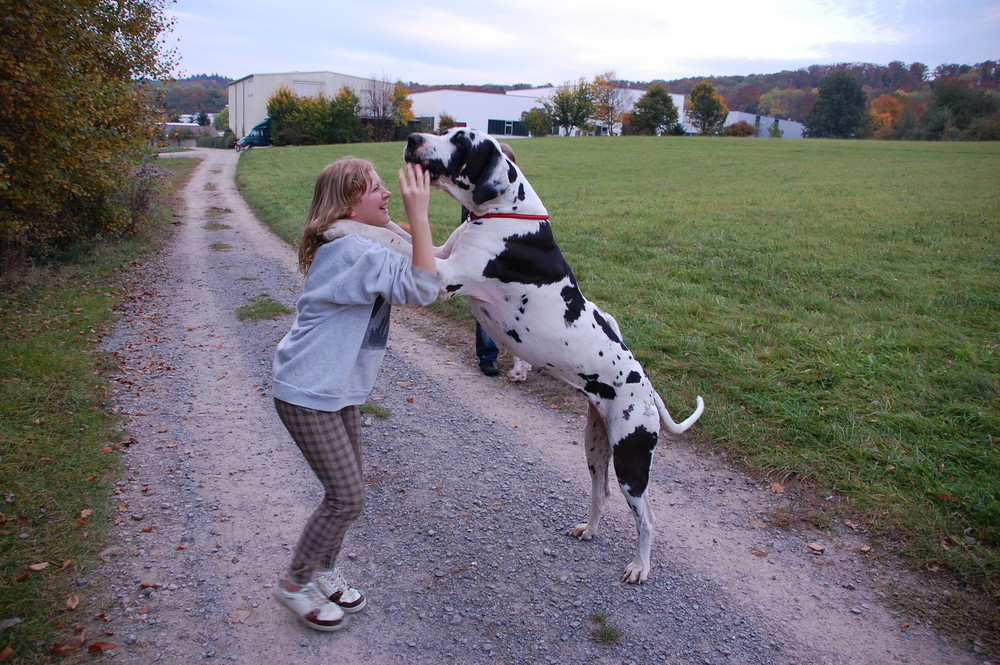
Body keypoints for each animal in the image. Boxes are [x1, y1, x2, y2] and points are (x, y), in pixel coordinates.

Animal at [328, 126, 704, 580]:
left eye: (460, 141)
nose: (414, 135)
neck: (506, 213)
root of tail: (645, 384)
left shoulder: (441, 276)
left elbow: (385, 235)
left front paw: (339, 223)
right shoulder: (436, 256)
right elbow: (397, 234)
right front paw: (345, 220)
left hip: (632, 457)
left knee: (646, 517)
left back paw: (640, 566)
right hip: (595, 445)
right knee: (601, 492)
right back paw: (590, 530)